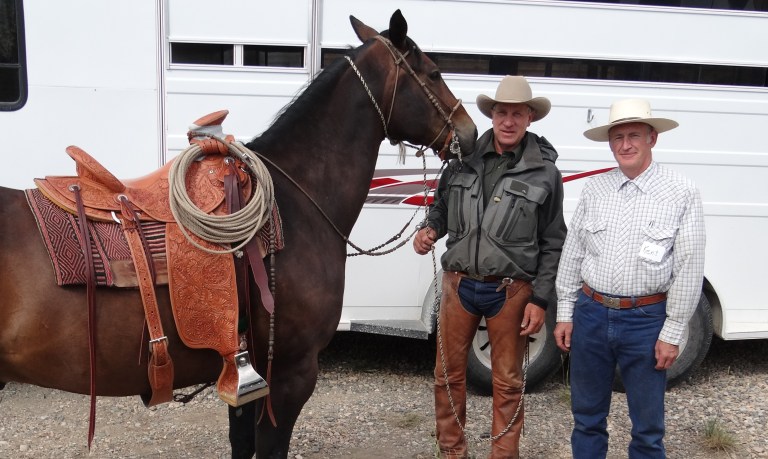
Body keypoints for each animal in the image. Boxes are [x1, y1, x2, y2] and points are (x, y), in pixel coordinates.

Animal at [0, 9, 476, 459]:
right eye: (434, 71)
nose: (469, 133)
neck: (296, 203)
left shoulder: (246, 373)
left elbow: (241, 443)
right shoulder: (290, 373)